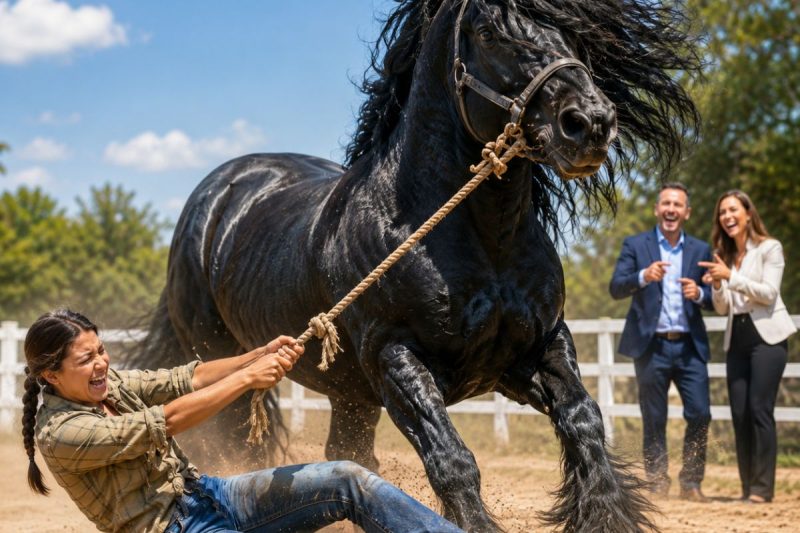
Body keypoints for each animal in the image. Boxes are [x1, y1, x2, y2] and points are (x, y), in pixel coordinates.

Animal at [135, 1, 701, 531]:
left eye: (575, 33)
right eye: (489, 32)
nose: (590, 122)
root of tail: (218, 192)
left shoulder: (535, 347)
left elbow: (584, 421)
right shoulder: (395, 357)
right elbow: (452, 460)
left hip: (351, 395)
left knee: (350, 454)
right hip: (223, 361)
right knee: (243, 450)